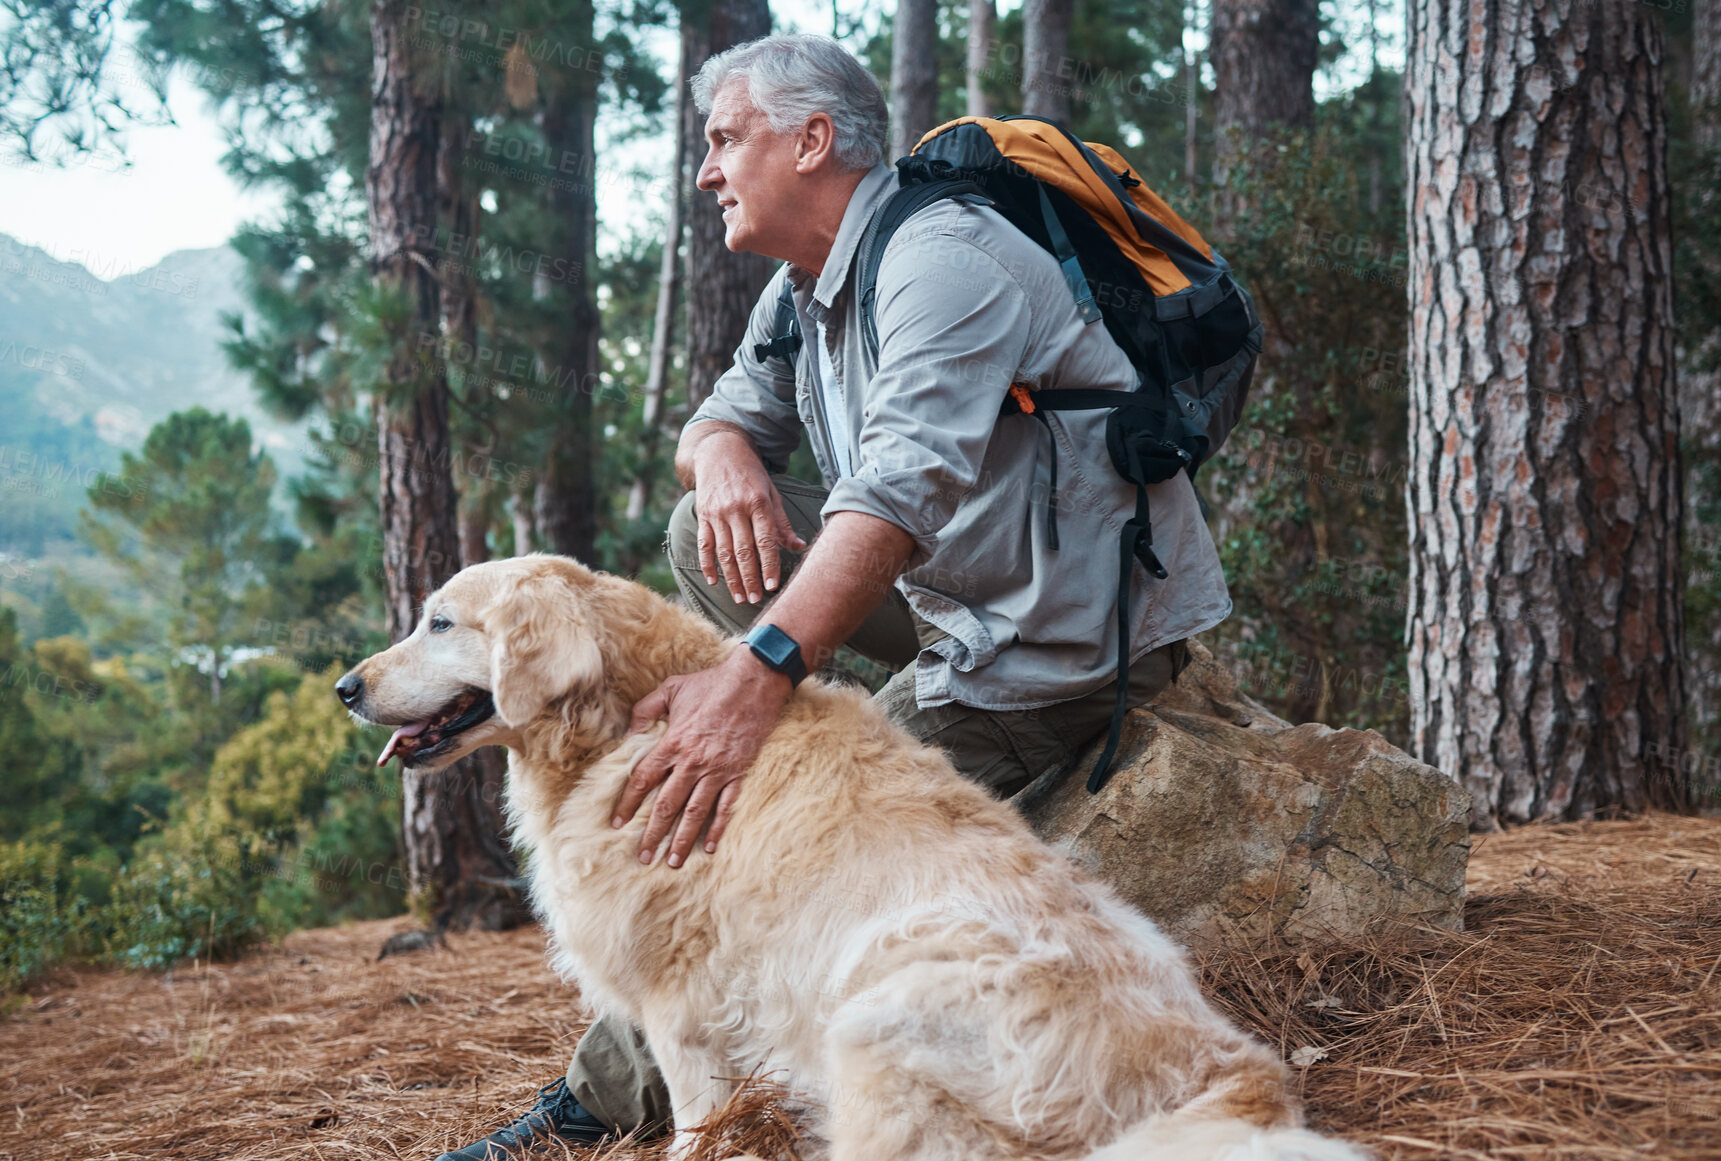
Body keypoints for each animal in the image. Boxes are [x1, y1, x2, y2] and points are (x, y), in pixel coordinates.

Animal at [339, 557, 1369, 1161]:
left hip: (877, 1012)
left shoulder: (682, 1002)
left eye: (439, 622)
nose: (346, 686)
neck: (626, 719)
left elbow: (696, 1116)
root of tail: (1225, 1085)